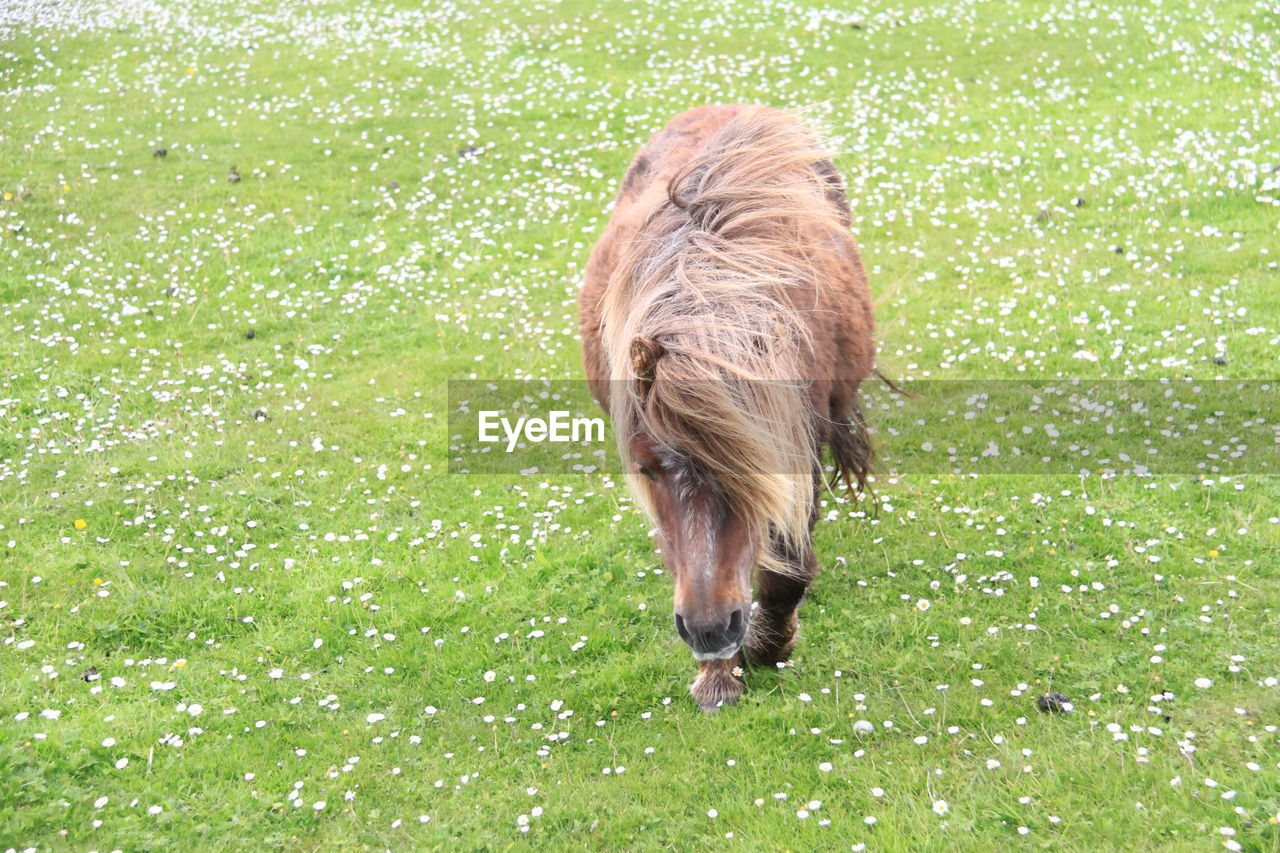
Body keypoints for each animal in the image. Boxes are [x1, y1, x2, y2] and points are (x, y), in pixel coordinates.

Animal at [578, 103, 870, 706]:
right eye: (645, 468)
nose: (710, 631)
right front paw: (718, 672)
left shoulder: (797, 448)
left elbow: (787, 569)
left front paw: (767, 646)